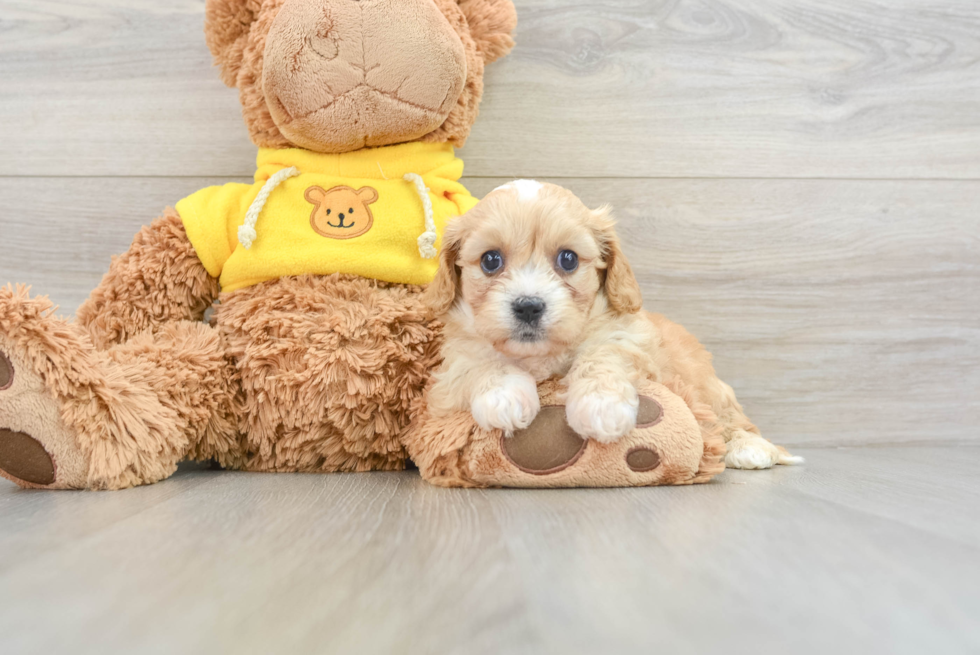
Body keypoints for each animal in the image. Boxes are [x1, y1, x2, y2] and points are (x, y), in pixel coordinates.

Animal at [424, 181, 800, 472]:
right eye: (491, 260)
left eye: (568, 259)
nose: (529, 306)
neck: (540, 356)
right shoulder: (450, 368)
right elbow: (480, 363)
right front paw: (504, 397)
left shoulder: (629, 337)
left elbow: (603, 353)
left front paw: (601, 405)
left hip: (711, 388)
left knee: (735, 420)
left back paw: (750, 448)